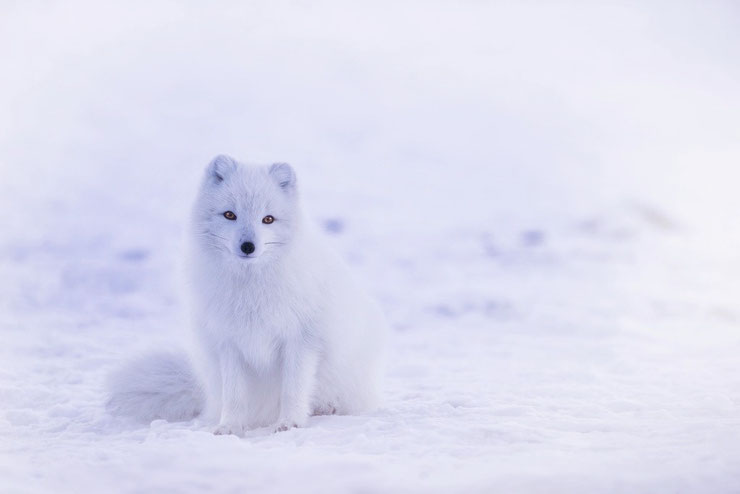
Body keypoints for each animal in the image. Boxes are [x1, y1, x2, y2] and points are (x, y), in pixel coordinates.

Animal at [109, 156, 390, 434]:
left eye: (268, 219)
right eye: (230, 214)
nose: (247, 246)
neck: (250, 288)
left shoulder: (301, 340)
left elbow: (293, 389)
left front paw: (290, 423)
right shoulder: (229, 343)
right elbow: (234, 395)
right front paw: (230, 427)